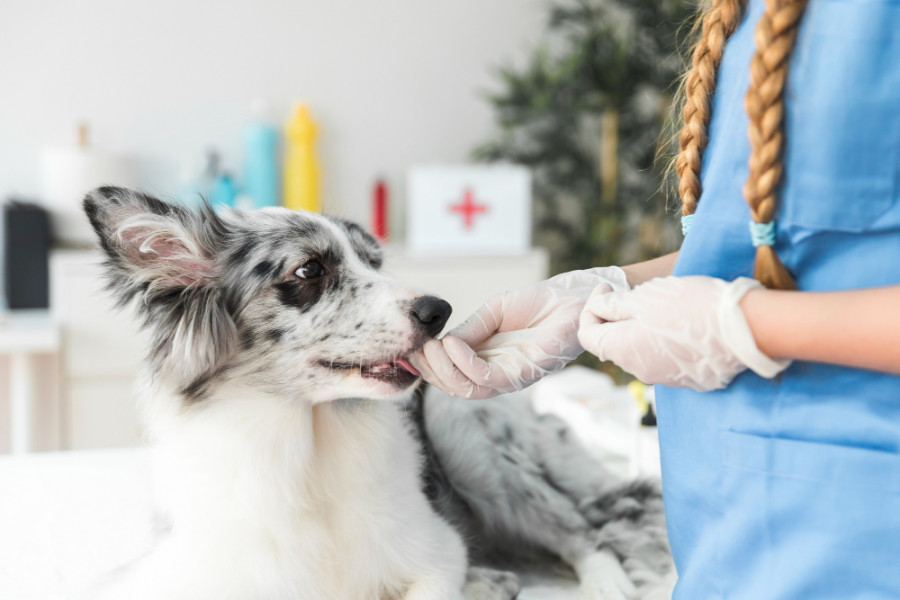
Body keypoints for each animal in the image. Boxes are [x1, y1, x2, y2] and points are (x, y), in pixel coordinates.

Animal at [86, 188, 676, 600]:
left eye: (373, 262)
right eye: (310, 268)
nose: (440, 311)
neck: (305, 446)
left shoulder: (435, 550)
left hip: (472, 443)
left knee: (582, 531)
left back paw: (602, 583)